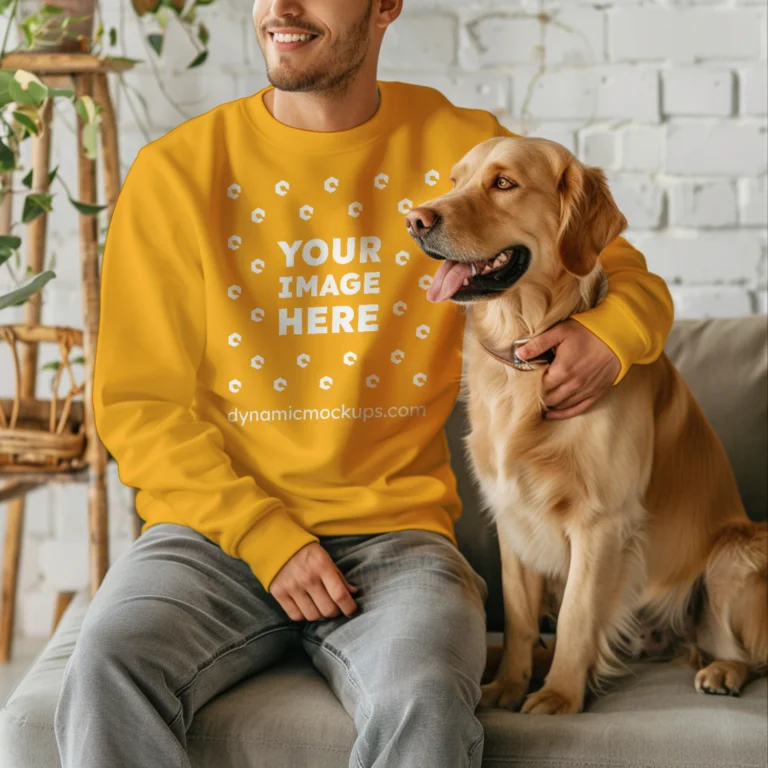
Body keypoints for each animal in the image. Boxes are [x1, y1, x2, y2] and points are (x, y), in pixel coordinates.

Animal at [404, 136, 764, 712]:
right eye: (455, 180)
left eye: (503, 183)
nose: (415, 220)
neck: (528, 352)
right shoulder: (512, 517)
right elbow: (520, 617)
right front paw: (508, 685)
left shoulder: (602, 522)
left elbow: (576, 614)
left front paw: (558, 697)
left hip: (735, 553)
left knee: (742, 648)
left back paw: (723, 670)